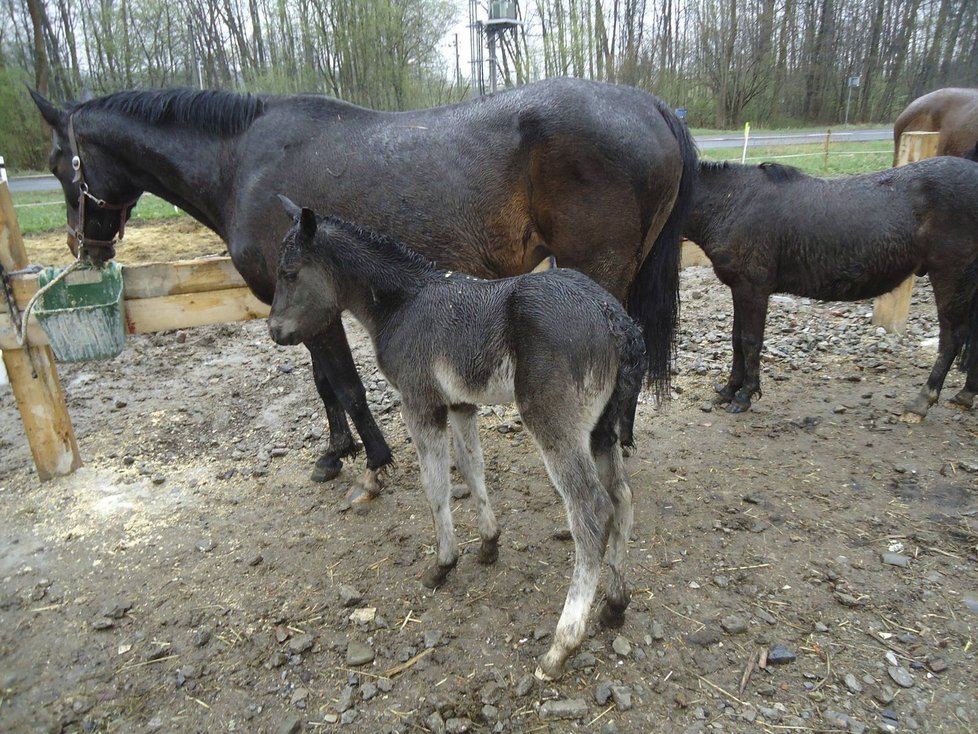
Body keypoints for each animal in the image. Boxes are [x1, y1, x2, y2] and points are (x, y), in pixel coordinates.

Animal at [28, 82, 692, 506]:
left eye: (62, 163)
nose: (81, 248)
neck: (240, 163)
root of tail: (652, 104)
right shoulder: (302, 312)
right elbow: (324, 384)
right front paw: (335, 451)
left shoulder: (313, 307)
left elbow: (344, 383)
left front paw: (373, 459)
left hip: (594, 272)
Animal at [268, 197, 648, 684]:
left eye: (290, 272)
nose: (275, 331)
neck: (403, 304)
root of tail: (614, 316)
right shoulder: (462, 405)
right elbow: (472, 468)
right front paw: (488, 544)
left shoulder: (420, 404)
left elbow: (435, 486)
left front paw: (442, 564)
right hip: (603, 427)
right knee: (622, 496)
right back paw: (615, 605)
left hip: (556, 426)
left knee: (592, 510)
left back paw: (560, 649)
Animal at [684, 157, 976, 416]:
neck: (732, 202)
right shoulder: (739, 288)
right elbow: (736, 339)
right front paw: (728, 390)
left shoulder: (753, 288)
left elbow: (750, 341)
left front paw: (744, 396)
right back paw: (966, 394)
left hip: (949, 276)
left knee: (951, 340)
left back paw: (923, 400)